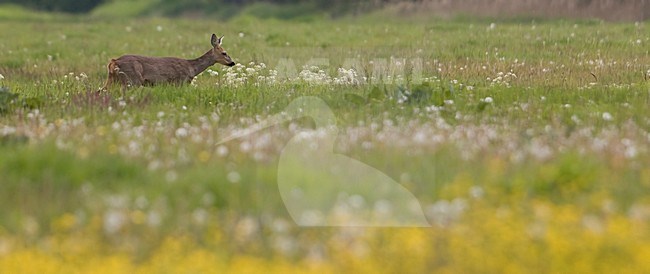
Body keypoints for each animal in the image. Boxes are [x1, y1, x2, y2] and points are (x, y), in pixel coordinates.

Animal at [100, 33, 234, 91]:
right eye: (224, 53)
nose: (232, 62)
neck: (192, 68)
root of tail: (113, 62)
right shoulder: (180, 81)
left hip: (113, 79)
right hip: (132, 79)